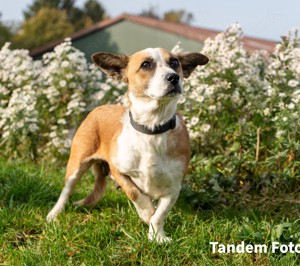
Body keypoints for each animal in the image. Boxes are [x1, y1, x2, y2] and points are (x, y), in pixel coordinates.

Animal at [47, 47, 209, 243]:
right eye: (146, 64)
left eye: (175, 63)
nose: (174, 77)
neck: (152, 128)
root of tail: (99, 107)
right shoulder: (118, 171)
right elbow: (135, 193)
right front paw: (146, 212)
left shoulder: (174, 187)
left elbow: (160, 214)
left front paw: (157, 236)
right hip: (77, 164)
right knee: (66, 191)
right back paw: (54, 213)